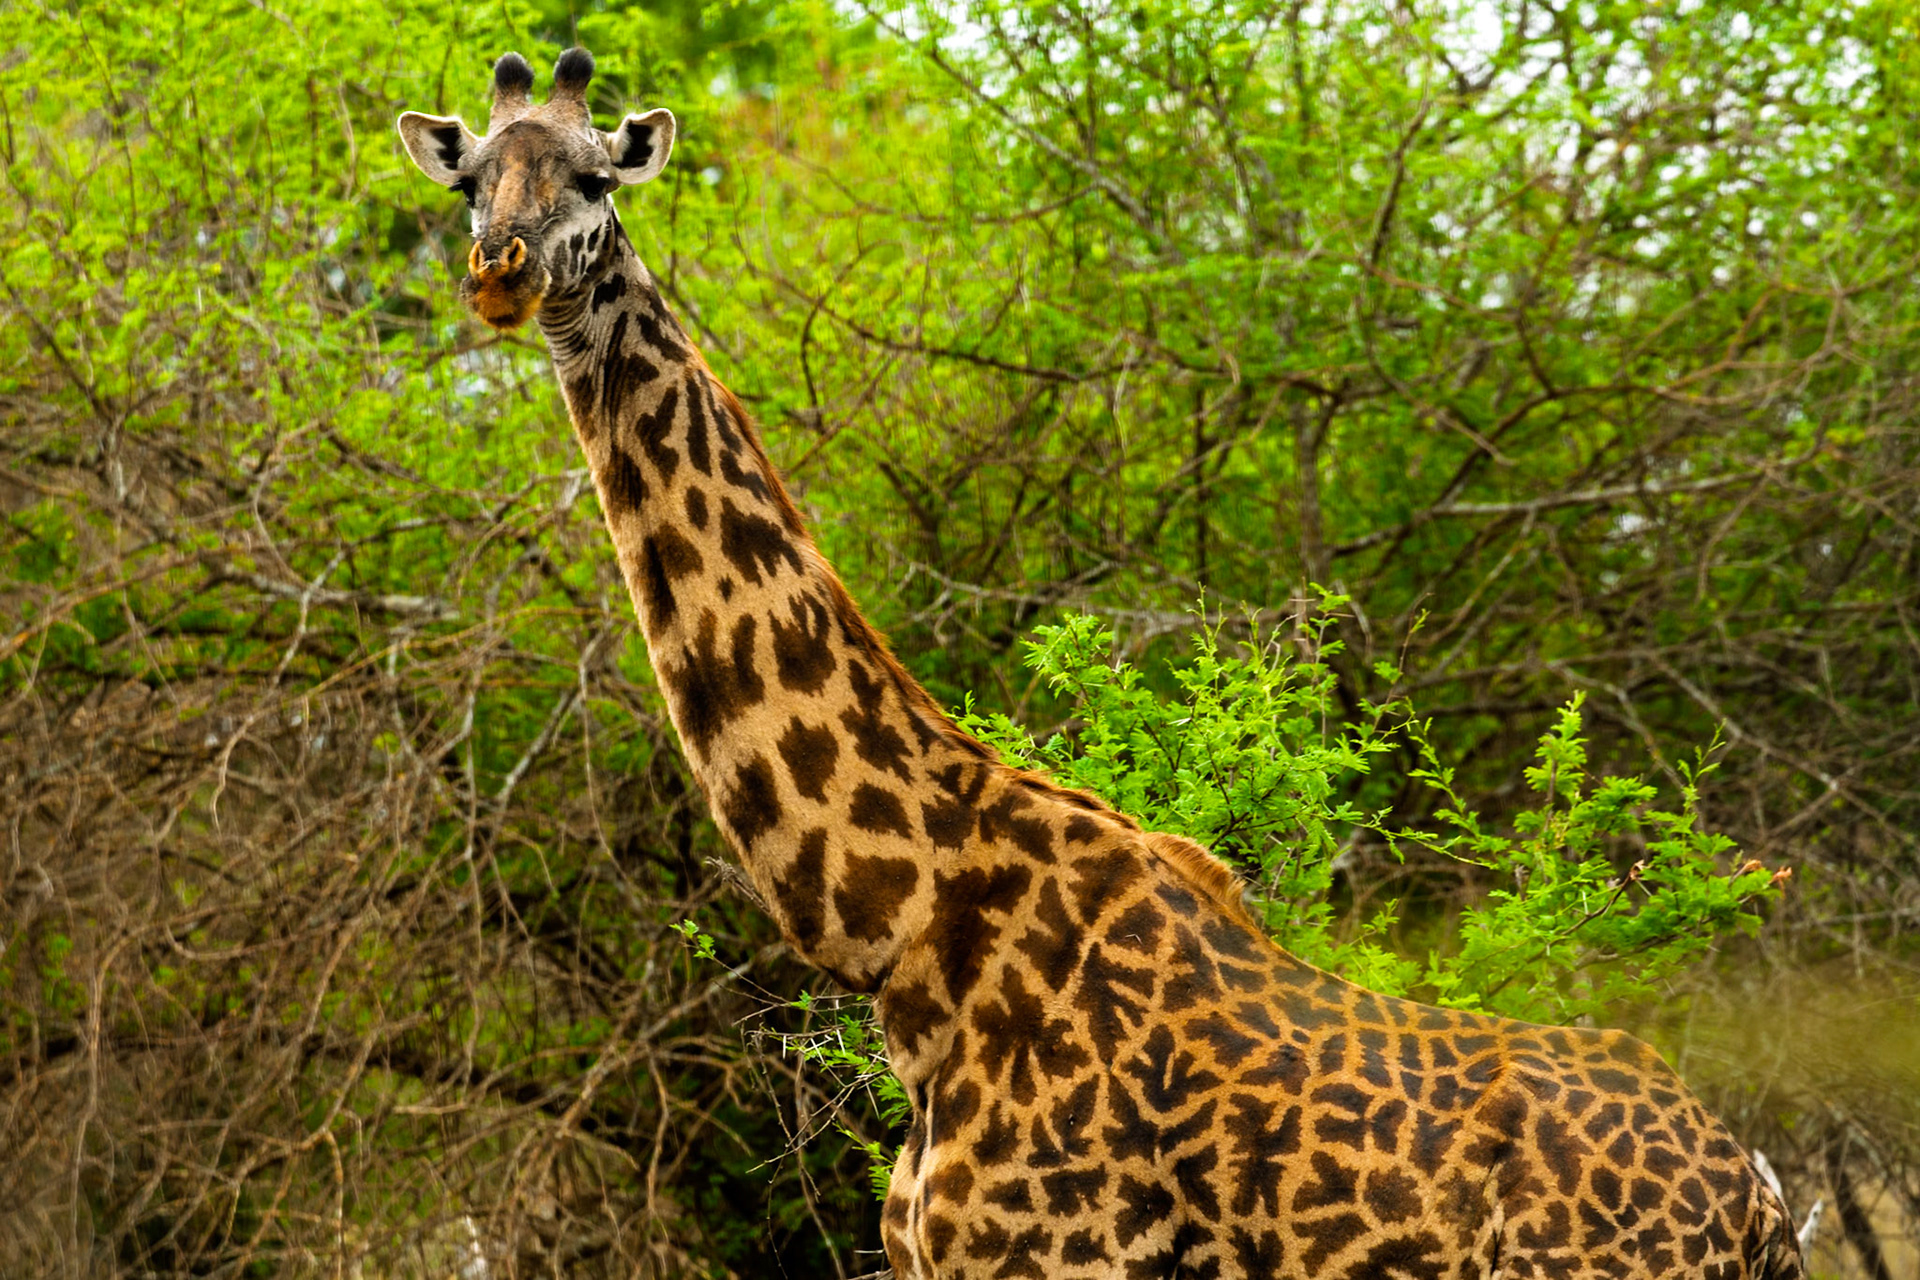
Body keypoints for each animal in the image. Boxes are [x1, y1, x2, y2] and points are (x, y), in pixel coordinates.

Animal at [397, 50, 1808, 1279]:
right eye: (469, 182)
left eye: (597, 178)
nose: (500, 273)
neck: (912, 933)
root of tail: (1754, 1199)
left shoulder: (1053, 1259)